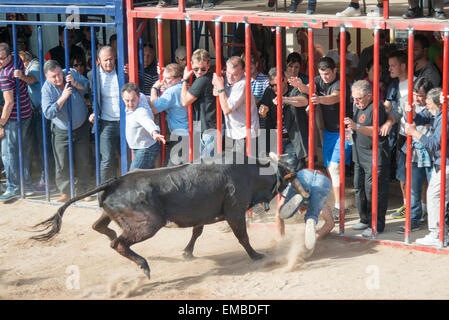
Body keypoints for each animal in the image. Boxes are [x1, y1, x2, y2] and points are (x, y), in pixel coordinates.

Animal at [30, 153, 304, 280]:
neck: (251, 172)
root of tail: (115, 180)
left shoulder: (203, 214)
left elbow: (197, 232)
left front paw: (187, 252)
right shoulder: (235, 211)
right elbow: (243, 237)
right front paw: (256, 255)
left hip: (115, 216)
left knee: (101, 227)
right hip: (149, 224)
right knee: (118, 243)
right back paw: (143, 265)